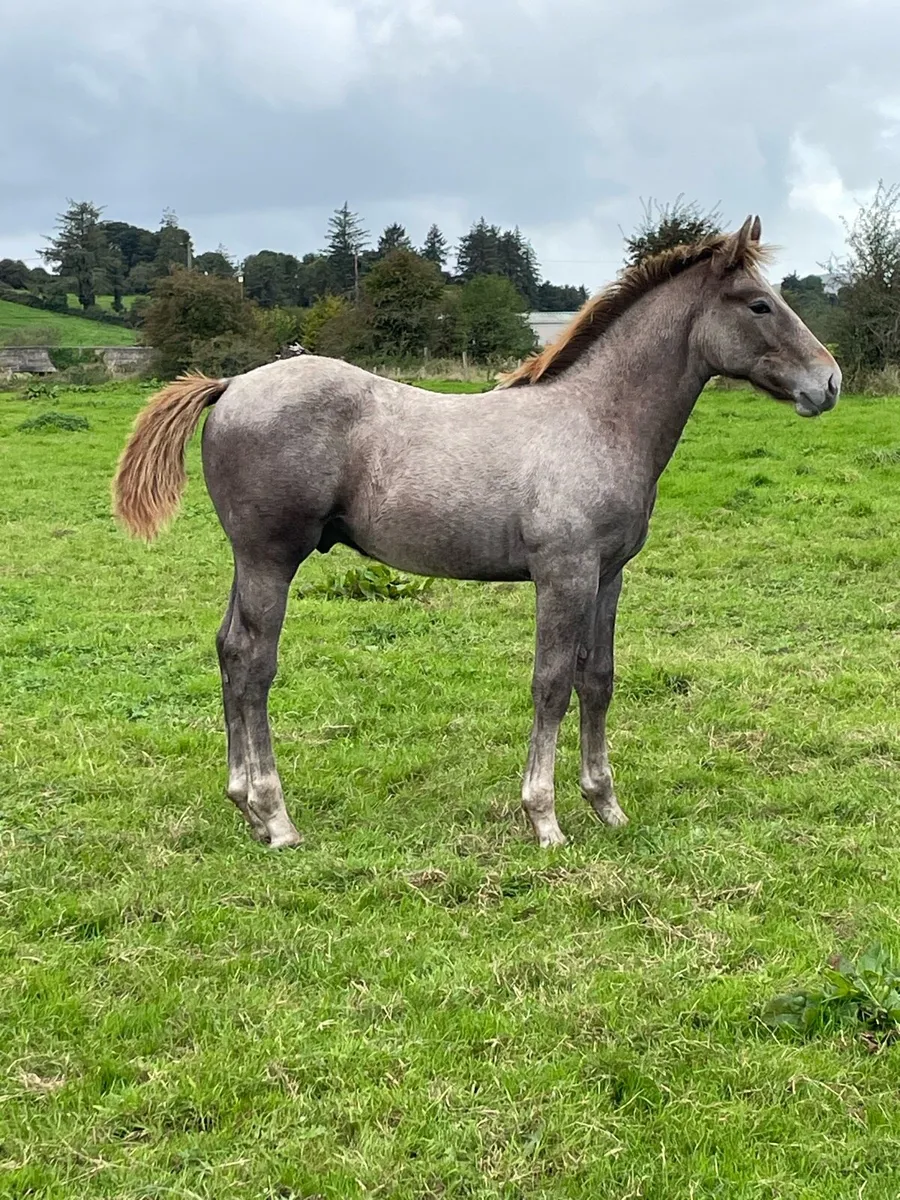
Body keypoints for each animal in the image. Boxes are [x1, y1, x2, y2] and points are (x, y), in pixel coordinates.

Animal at [113, 217, 839, 849]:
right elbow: (552, 683)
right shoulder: (563, 574)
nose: (828, 382)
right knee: (255, 663)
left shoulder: (608, 575)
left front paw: (606, 805)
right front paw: (544, 818)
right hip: (270, 558)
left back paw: (245, 805)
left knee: (229, 651)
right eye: (758, 305)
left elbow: (598, 679)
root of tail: (232, 384)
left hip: (250, 562)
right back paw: (276, 817)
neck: (595, 420)